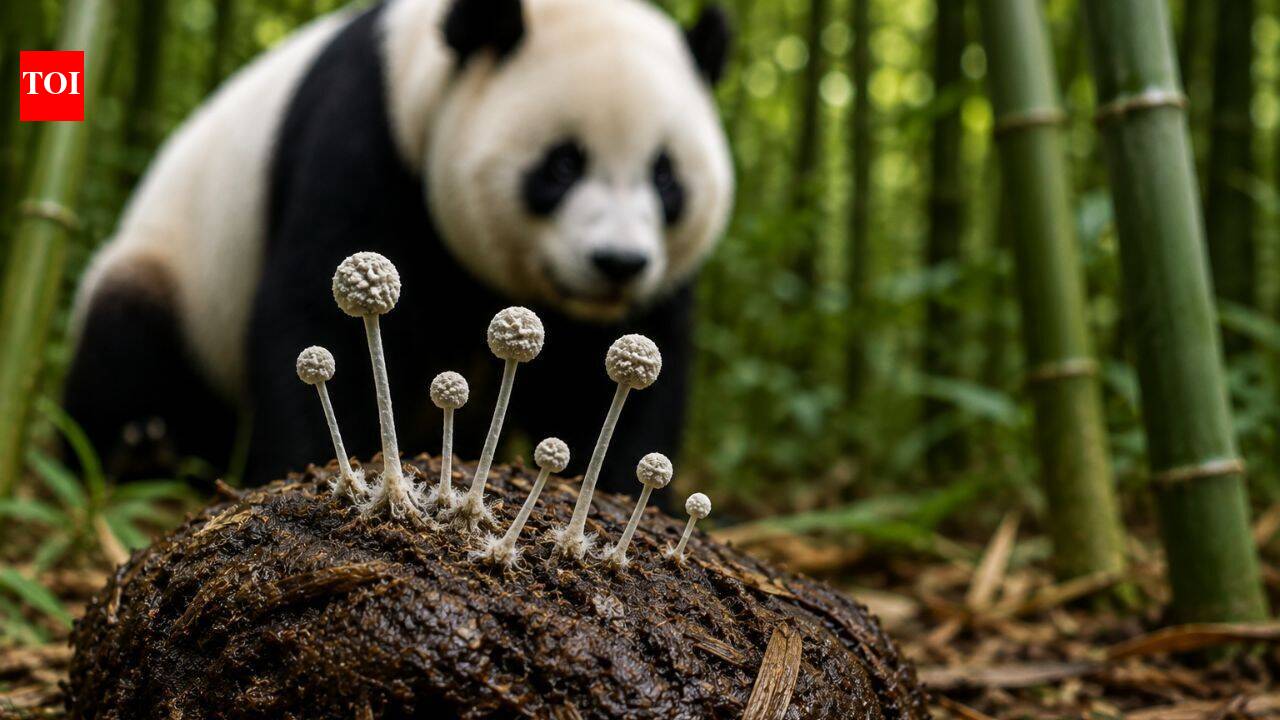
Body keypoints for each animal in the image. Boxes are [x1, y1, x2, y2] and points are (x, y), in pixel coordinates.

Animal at [64, 0, 734, 495]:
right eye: (562, 164)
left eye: (666, 178)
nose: (618, 263)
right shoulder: (368, 138)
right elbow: (315, 314)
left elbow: (608, 380)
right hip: (172, 268)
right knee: (125, 346)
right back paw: (141, 451)